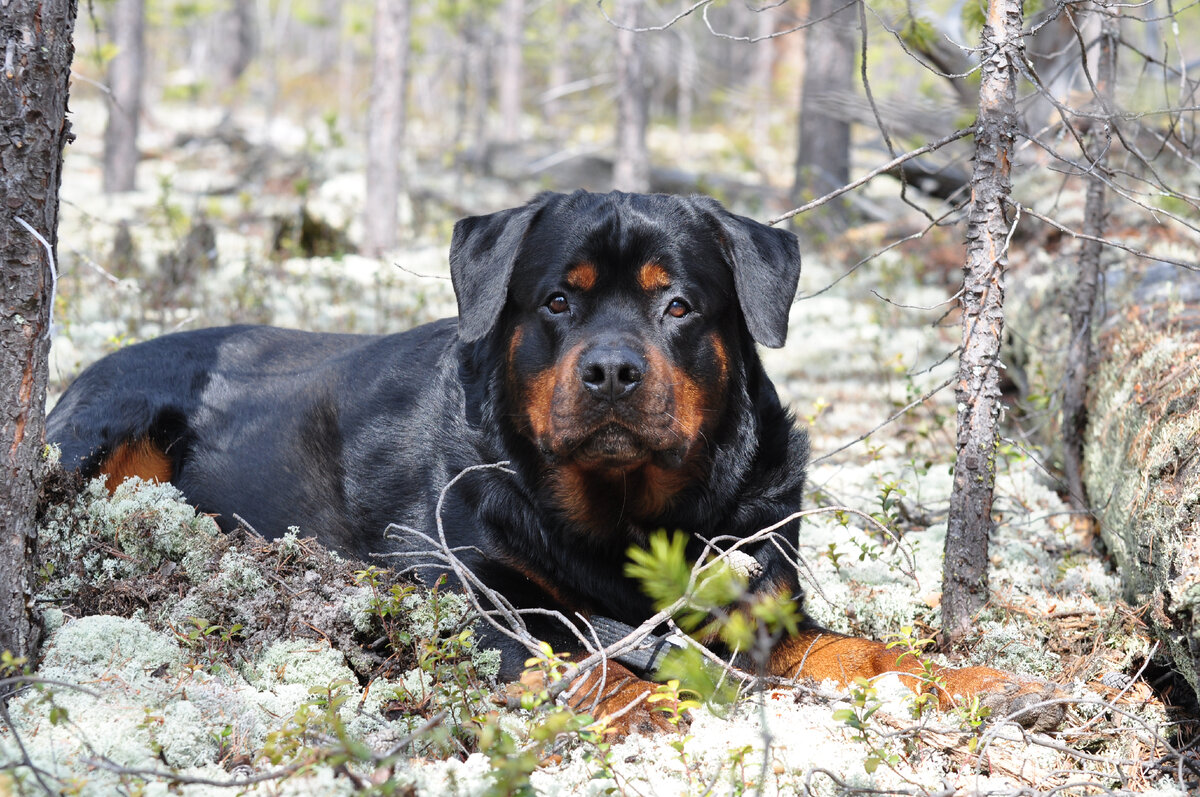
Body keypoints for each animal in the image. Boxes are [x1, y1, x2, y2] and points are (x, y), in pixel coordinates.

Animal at [46, 189, 1065, 729]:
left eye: (678, 304)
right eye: (558, 302)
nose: (611, 369)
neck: (624, 513)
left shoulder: (760, 595)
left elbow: (861, 646)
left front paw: (988, 681)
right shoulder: (465, 595)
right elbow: (581, 661)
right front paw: (660, 700)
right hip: (103, 427)